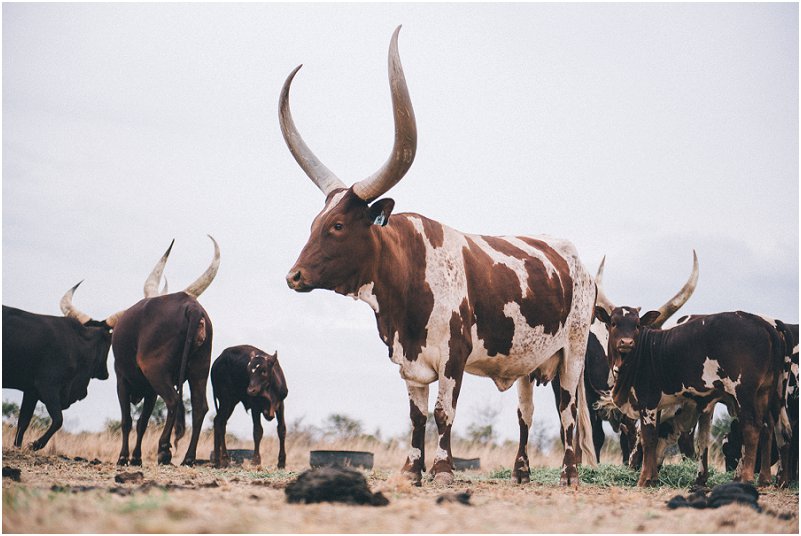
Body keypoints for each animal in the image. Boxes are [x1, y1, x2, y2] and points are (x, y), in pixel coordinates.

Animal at [111, 237, 219, 466]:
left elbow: (127, 420)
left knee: (173, 400)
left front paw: (124, 457)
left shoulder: (121, 380)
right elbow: (142, 422)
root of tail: (192, 307)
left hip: (156, 371)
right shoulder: (150, 390)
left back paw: (164, 450)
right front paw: (136, 457)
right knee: (200, 408)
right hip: (200, 369)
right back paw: (188, 457)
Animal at [282, 26, 600, 486]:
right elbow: (416, 417)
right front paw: (412, 471)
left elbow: (443, 413)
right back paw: (521, 473)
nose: (294, 275)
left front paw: (444, 469)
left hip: (572, 352)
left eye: (337, 226)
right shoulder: (409, 363)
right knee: (525, 413)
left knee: (567, 408)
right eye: (314, 223)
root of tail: (578, 263)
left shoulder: (454, 356)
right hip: (528, 361)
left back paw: (570, 474)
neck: (406, 285)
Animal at [596, 306, 784, 486]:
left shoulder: (648, 402)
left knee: (751, 427)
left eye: (637, 325)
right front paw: (654, 478)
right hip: (764, 393)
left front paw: (644, 479)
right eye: (613, 323)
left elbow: (648, 438)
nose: (626, 342)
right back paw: (764, 478)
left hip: (743, 393)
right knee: (767, 426)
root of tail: (762, 324)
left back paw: (746, 478)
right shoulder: (660, 406)